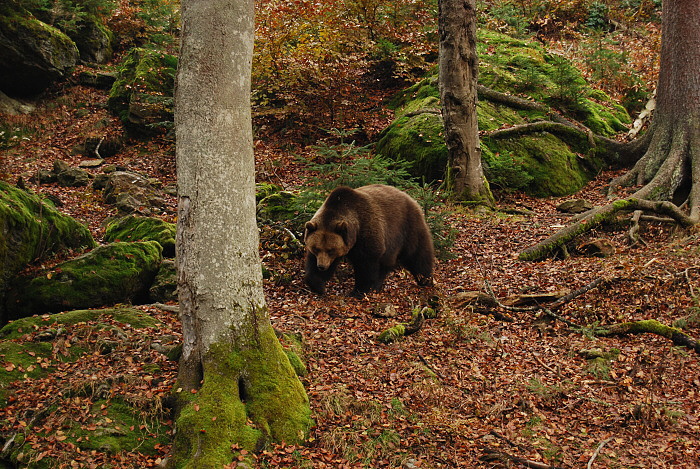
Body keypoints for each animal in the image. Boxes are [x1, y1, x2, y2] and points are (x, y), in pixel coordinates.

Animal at [304, 184, 434, 296]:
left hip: (408, 227)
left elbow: (366, 265)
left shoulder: (367, 233)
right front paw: (318, 286)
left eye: (331, 250)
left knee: (418, 254)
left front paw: (358, 291)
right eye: (316, 248)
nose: (321, 266)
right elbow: (314, 266)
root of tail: (411, 198)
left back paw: (425, 280)